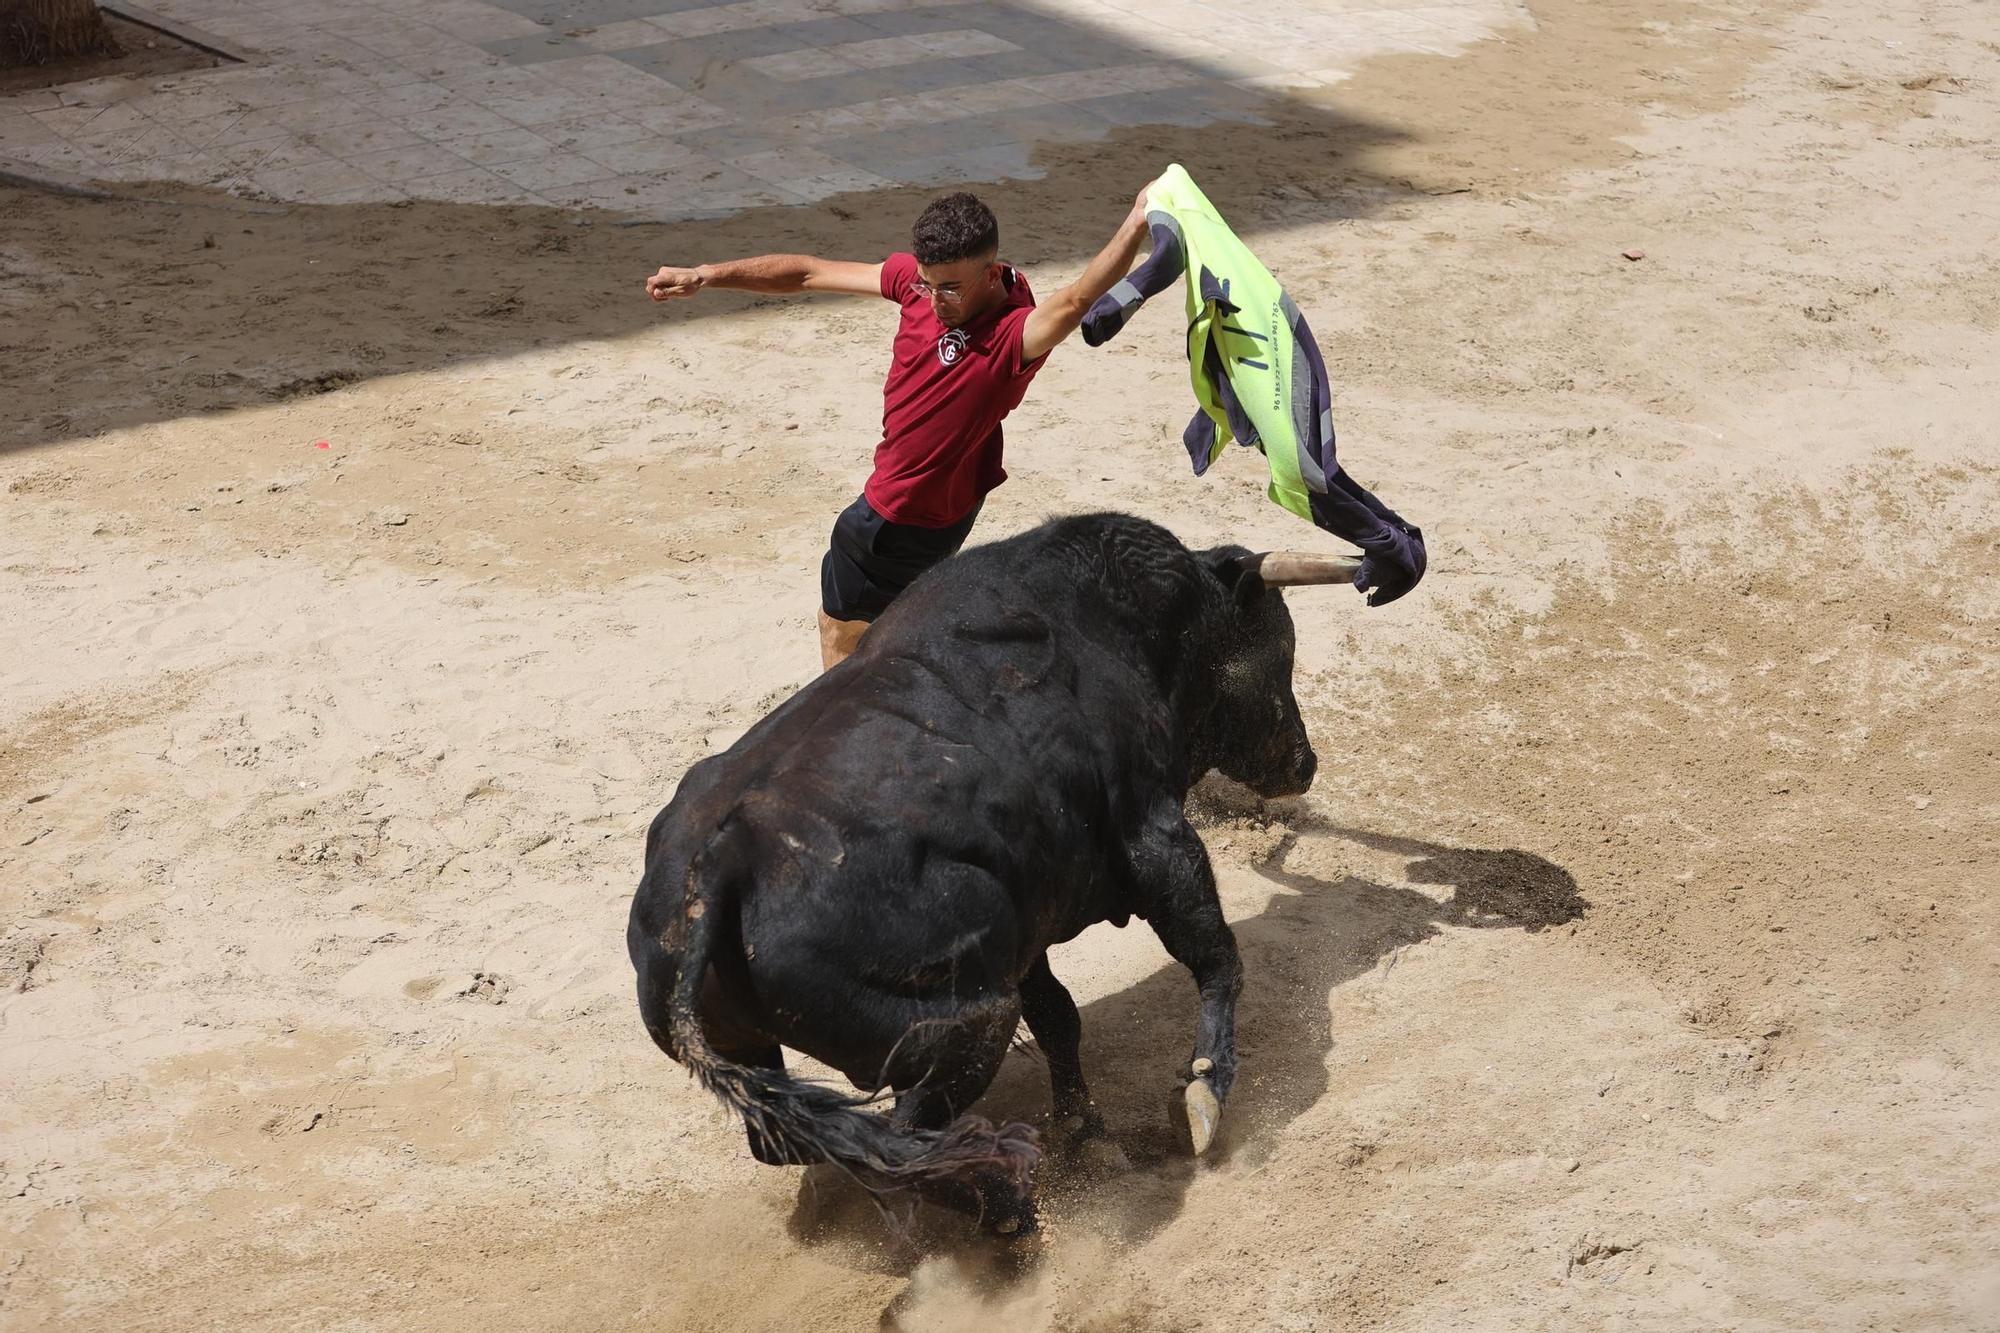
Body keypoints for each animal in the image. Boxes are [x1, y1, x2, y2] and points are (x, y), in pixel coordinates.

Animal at [624, 508, 1360, 1224]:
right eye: (1280, 653)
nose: (1306, 762)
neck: (1140, 624)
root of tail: (718, 866)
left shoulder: (1022, 924)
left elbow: (1061, 1016)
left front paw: (1087, 1135)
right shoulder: (1155, 836)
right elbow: (1215, 955)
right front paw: (1203, 1095)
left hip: (770, 1043)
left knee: (801, 1142)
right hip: (971, 1023)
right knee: (901, 1141)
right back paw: (1008, 1209)